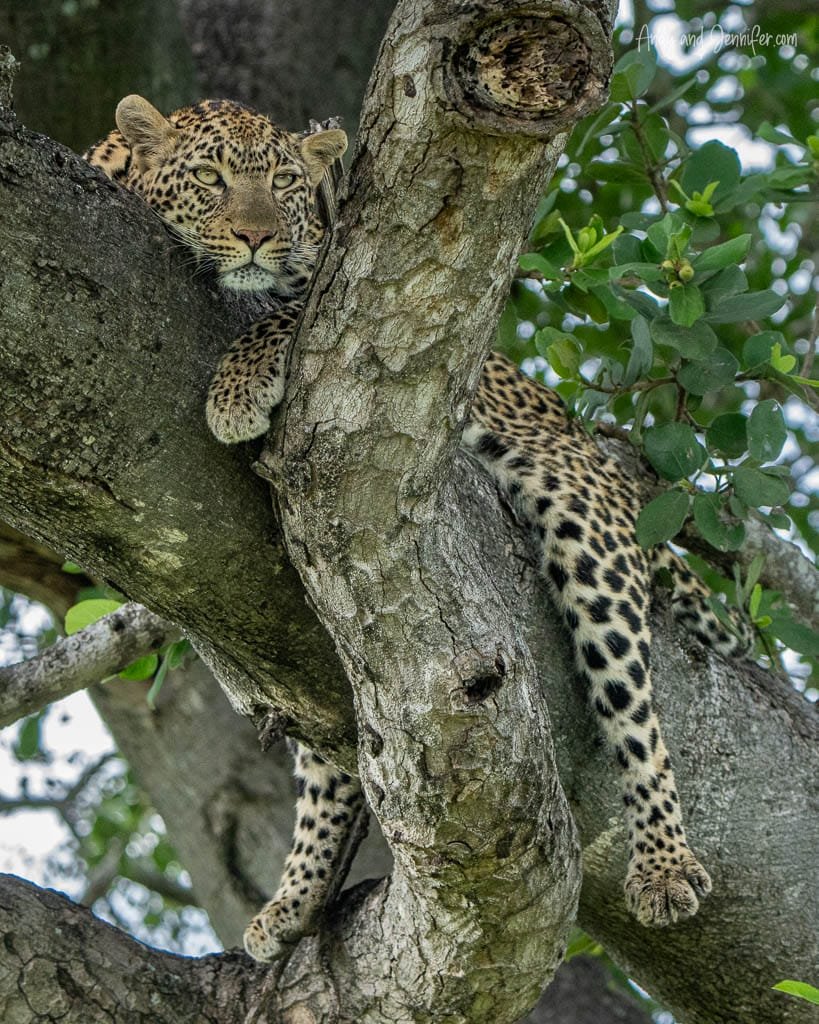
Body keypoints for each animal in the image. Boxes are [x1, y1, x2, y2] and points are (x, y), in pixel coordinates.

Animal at [85, 96, 753, 963]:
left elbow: (291, 312)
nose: (258, 237)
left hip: (581, 508)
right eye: (210, 177)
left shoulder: (346, 285)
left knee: (636, 712)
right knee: (330, 750)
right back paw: (293, 901)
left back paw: (665, 866)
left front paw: (236, 387)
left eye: (283, 185)